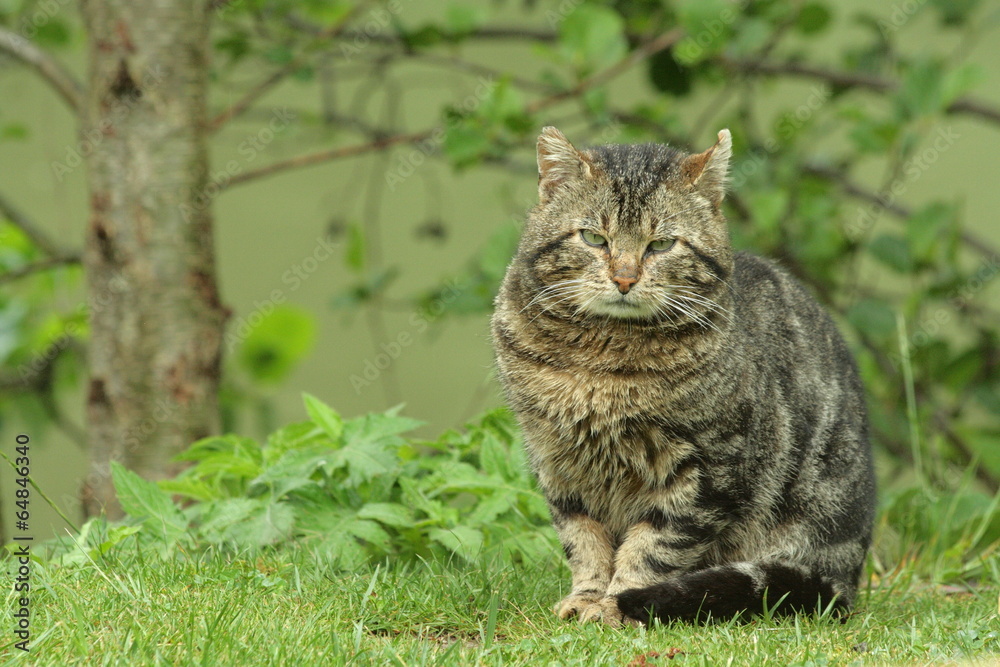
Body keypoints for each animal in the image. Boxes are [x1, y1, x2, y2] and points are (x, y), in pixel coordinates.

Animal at [490, 126, 876, 628]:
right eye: (594, 238)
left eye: (660, 245)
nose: (625, 279)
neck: (600, 362)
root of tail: (848, 577)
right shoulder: (557, 462)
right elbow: (584, 541)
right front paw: (586, 596)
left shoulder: (709, 470)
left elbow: (653, 548)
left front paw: (616, 604)